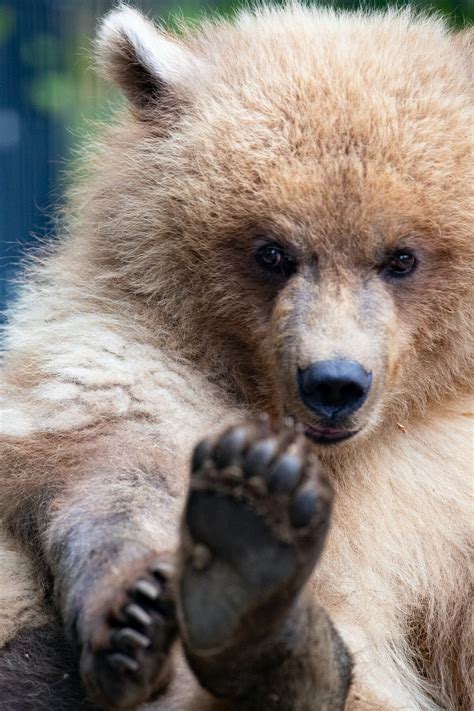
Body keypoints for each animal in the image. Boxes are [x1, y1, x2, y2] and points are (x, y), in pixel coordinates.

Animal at [0, 5, 474, 711]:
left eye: (401, 257)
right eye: (272, 251)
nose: (334, 383)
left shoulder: (444, 496)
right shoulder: (123, 371)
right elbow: (117, 487)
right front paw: (231, 560)